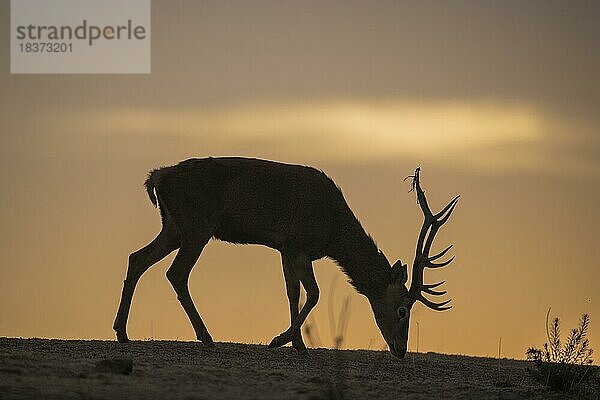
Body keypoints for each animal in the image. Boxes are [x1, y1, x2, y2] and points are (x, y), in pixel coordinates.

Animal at [112, 158, 460, 358]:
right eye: (402, 310)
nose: (401, 351)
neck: (332, 231)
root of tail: (156, 178)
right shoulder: (299, 245)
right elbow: (314, 293)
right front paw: (280, 339)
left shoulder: (284, 248)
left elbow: (293, 291)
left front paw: (297, 343)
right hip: (198, 225)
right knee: (176, 273)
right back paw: (207, 337)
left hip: (173, 226)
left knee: (136, 258)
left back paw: (122, 332)